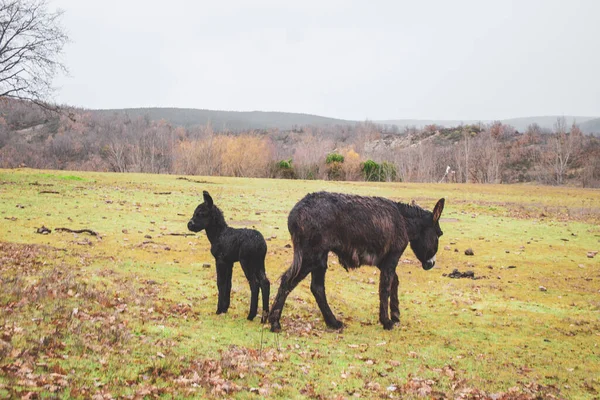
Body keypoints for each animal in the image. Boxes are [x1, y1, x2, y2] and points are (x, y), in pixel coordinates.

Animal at [189, 191, 270, 322]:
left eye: (201, 214)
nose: (189, 225)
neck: (218, 235)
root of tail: (261, 244)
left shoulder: (220, 260)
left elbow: (220, 283)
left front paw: (218, 310)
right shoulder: (229, 261)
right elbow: (228, 284)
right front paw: (225, 308)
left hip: (247, 261)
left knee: (254, 283)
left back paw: (251, 315)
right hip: (259, 262)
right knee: (265, 282)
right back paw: (264, 318)